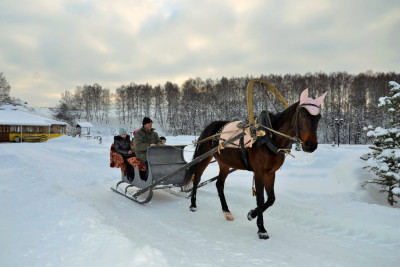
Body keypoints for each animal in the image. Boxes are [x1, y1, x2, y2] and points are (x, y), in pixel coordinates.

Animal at [189, 89, 326, 240]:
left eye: (319, 117)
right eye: (303, 114)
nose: (311, 145)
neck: (269, 136)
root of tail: (209, 126)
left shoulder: (271, 173)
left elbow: (271, 199)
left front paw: (251, 214)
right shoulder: (259, 172)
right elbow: (260, 199)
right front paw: (261, 229)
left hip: (224, 163)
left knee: (219, 184)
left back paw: (226, 211)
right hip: (203, 157)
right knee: (197, 179)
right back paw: (193, 205)